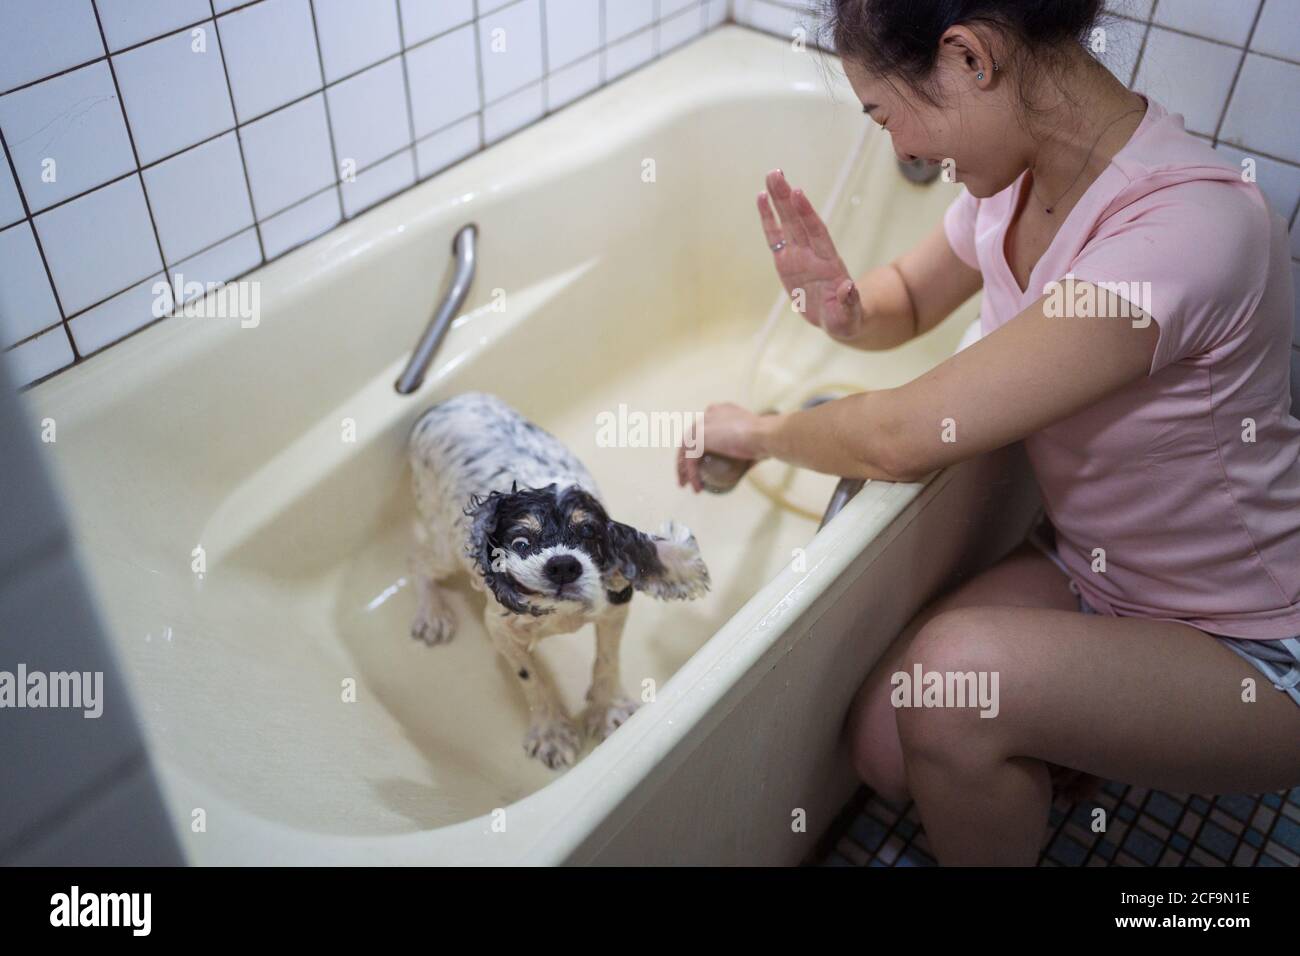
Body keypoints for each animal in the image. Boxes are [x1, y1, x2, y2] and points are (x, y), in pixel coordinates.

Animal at [408, 390, 707, 770]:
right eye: (521, 541)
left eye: (589, 534)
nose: (563, 565)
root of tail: (447, 401)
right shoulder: (500, 629)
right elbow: (531, 679)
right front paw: (552, 732)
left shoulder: (614, 606)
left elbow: (607, 659)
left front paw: (606, 708)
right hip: (445, 544)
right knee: (418, 561)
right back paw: (431, 614)